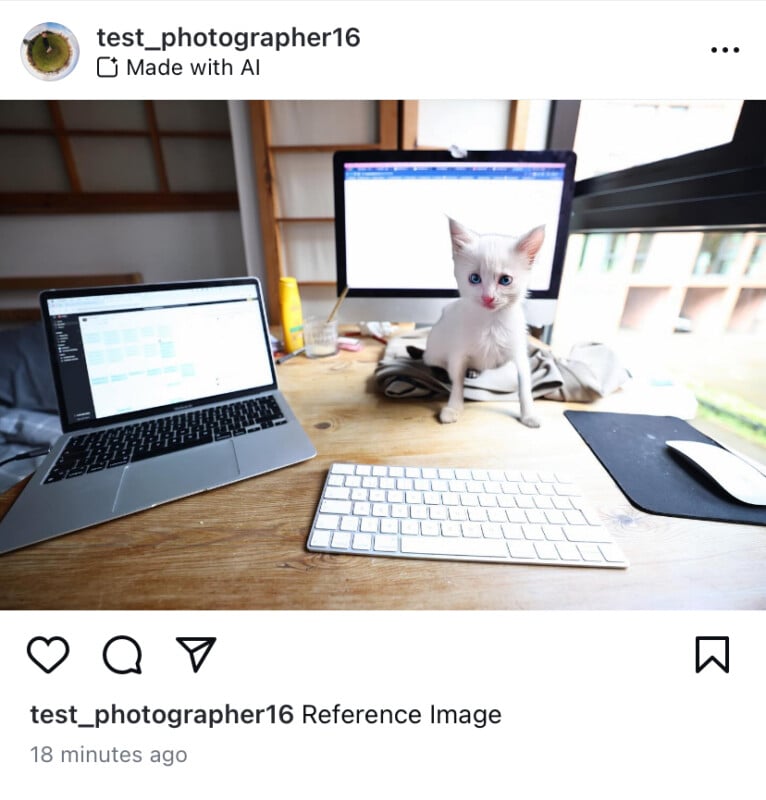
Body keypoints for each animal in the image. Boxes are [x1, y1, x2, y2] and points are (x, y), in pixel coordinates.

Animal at [424, 212, 544, 424]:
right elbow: (457, 381)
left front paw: (529, 414)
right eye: (474, 278)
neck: (491, 323)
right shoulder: (458, 353)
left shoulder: (519, 352)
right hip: (434, 349)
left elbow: (525, 383)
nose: (488, 298)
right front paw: (453, 408)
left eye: (505, 280)